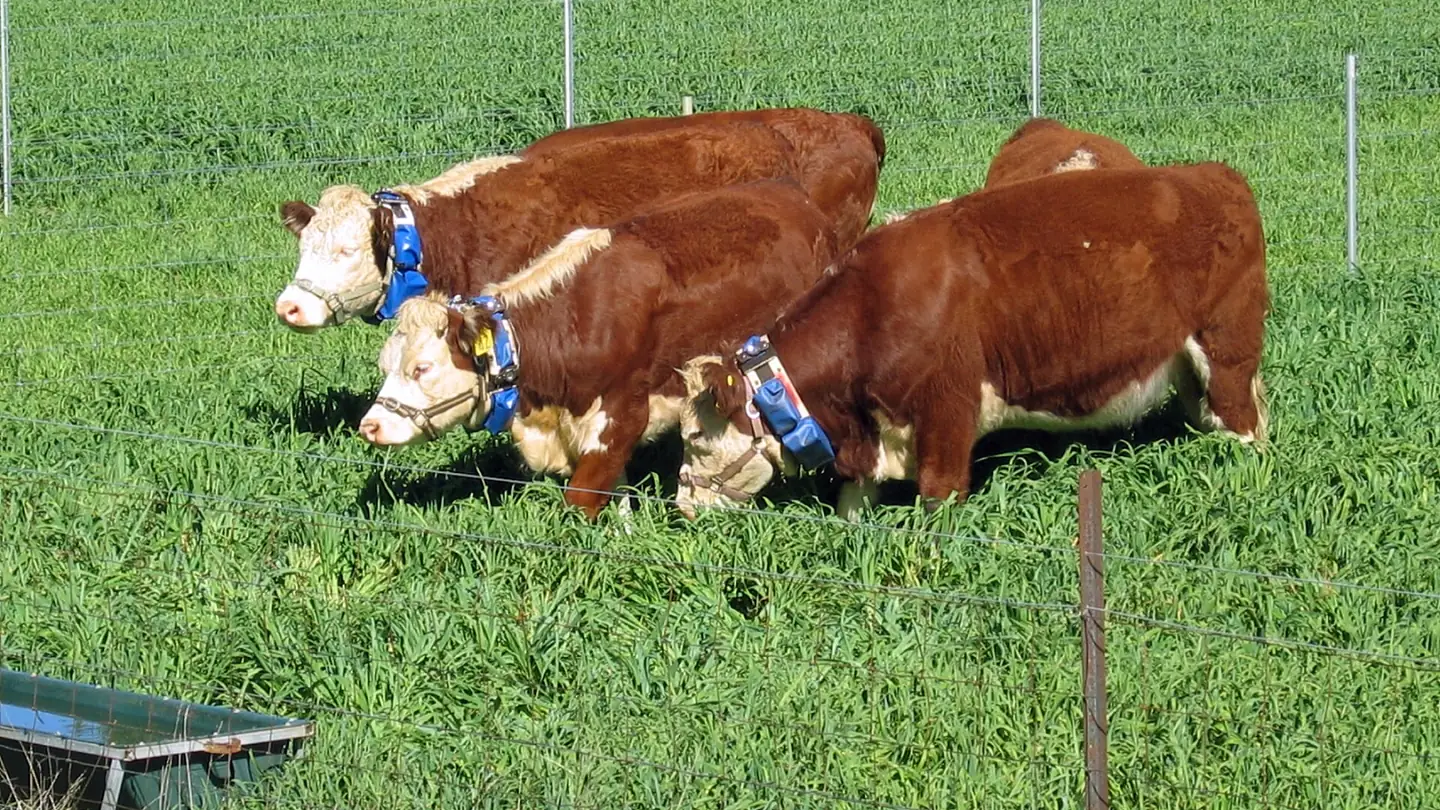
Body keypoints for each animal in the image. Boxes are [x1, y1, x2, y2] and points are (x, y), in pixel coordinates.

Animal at [354, 179, 842, 520]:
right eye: (385, 365)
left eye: (421, 368)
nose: (369, 427)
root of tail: (792, 195)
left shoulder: (622, 414)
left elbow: (582, 499)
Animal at [674, 161, 1270, 521]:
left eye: (698, 438)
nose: (681, 504)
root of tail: (1214, 174)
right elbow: (851, 505)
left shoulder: (947, 412)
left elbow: (938, 499)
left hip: (1227, 350)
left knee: (1244, 423)